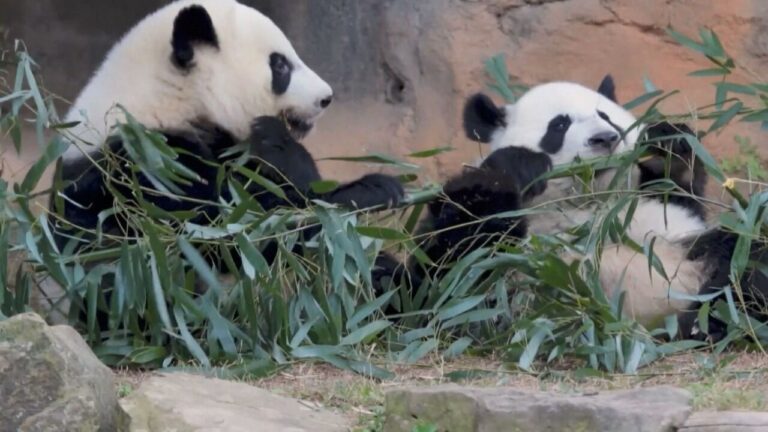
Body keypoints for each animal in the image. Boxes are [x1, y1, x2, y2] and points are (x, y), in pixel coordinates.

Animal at [52, 0, 404, 250]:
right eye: (280, 65)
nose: (326, 98)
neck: (170, 99)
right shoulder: (146, 168)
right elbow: (245, 227)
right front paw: (373, 188)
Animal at [411, 75, 767, 340]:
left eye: (606, 116)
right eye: (558, 126)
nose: (604, 139)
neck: (586, 204)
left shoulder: (657, 214)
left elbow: (677, 191)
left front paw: (668, 144)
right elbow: (445, 281)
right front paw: (519, 165)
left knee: (744, 255)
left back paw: (718, 318)